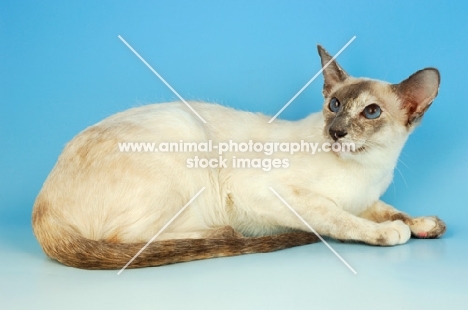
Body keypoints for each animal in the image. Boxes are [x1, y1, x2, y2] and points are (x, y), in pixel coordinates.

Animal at [32, 45, 446, 268]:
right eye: (334, 105)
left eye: (371, 112)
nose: (336, 132)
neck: (367, 169)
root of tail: (41, 205)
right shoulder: (268, 193)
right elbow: (340, 217)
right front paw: (390, 233)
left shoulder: (367, 198)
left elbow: (388, 209)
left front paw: (424, 224)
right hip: (186, 137)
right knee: (133, 241)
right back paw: (223, 232)